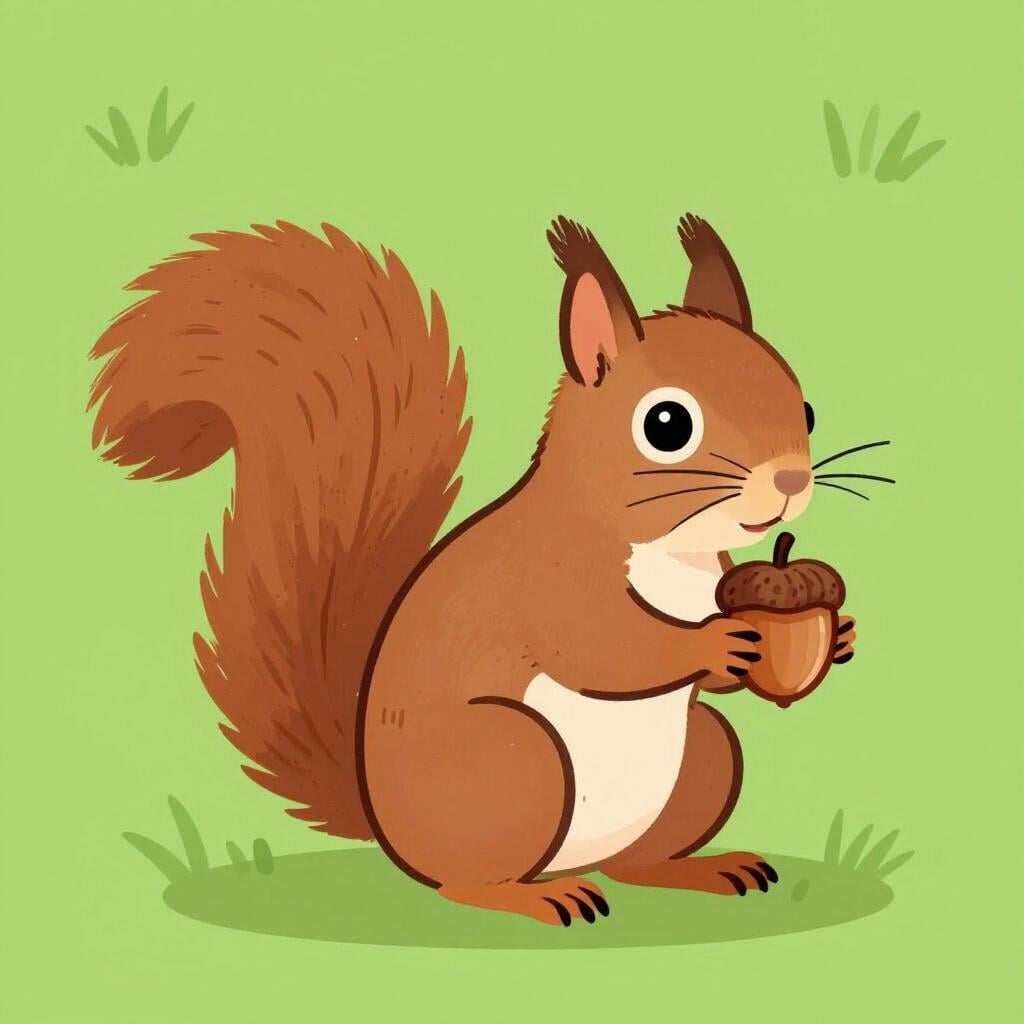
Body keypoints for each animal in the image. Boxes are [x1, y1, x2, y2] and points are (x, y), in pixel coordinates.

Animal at [89, 214, 856, 927]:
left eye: (807, 406)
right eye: (667, 424)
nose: (790, 481)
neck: (671, 549)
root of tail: (389, 832)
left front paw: (838, 636)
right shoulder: (554, 578)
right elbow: (608, 649)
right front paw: (714, 643)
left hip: (705, 755)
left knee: (636, 860)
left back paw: (696, 870)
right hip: (514, 764)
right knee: (466, 883)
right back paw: (538, 897)